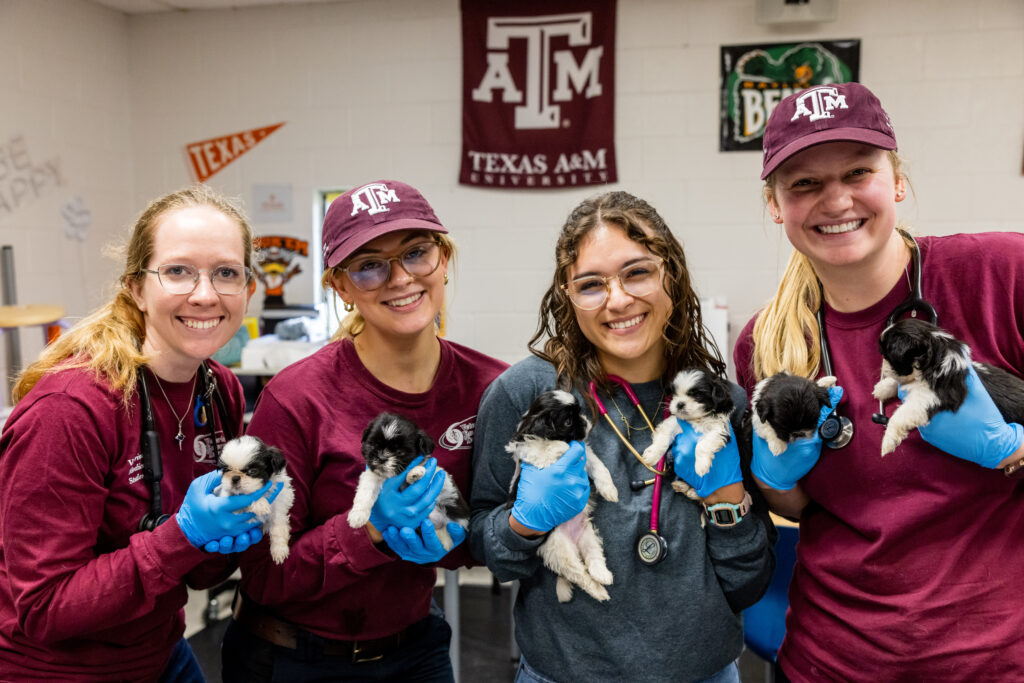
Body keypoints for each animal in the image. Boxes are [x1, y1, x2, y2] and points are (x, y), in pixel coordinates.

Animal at [215, 436, 296, 565]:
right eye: (226, 470)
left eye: (252, 471)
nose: (235, 478)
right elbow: (247, 499)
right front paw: (260, 504)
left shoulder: (280, 502)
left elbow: (278, 526)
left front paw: (279, 550)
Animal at [346, 411, 468, 548]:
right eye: (373, 444)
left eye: (400, 452)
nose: (381, 458)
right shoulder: (373, 475)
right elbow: (366, 490)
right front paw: (358, 514)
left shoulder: (436, 475)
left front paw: (415, 472)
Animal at [507, 389, 618, 602]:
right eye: (567, 422)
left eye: (579, 412)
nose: (586, 423)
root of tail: (574, 541)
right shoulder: (536, 454)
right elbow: (549, 448)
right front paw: (563, 448)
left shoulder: (586, 456)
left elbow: (600, 468)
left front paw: (609, 490)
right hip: (560, 551)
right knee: (580, 576)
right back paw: (599, 592)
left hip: (587, 536)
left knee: (593, 559)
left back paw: (602, 576)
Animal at [643, 368, 733, 497]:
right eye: (675, 394)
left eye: (698, 395)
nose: (679, 403)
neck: (697, 419)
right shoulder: (675, 423)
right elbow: (664, 436)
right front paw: (652, 454)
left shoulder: (719, 428)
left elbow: (702, 445)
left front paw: (701, 465)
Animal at [872, 317, 1024, 456]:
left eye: (887, 356)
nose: (882, 369)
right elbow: (899, 383)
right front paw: (882, 387)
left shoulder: (929, 398)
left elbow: (899, 415)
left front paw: (887, 442)